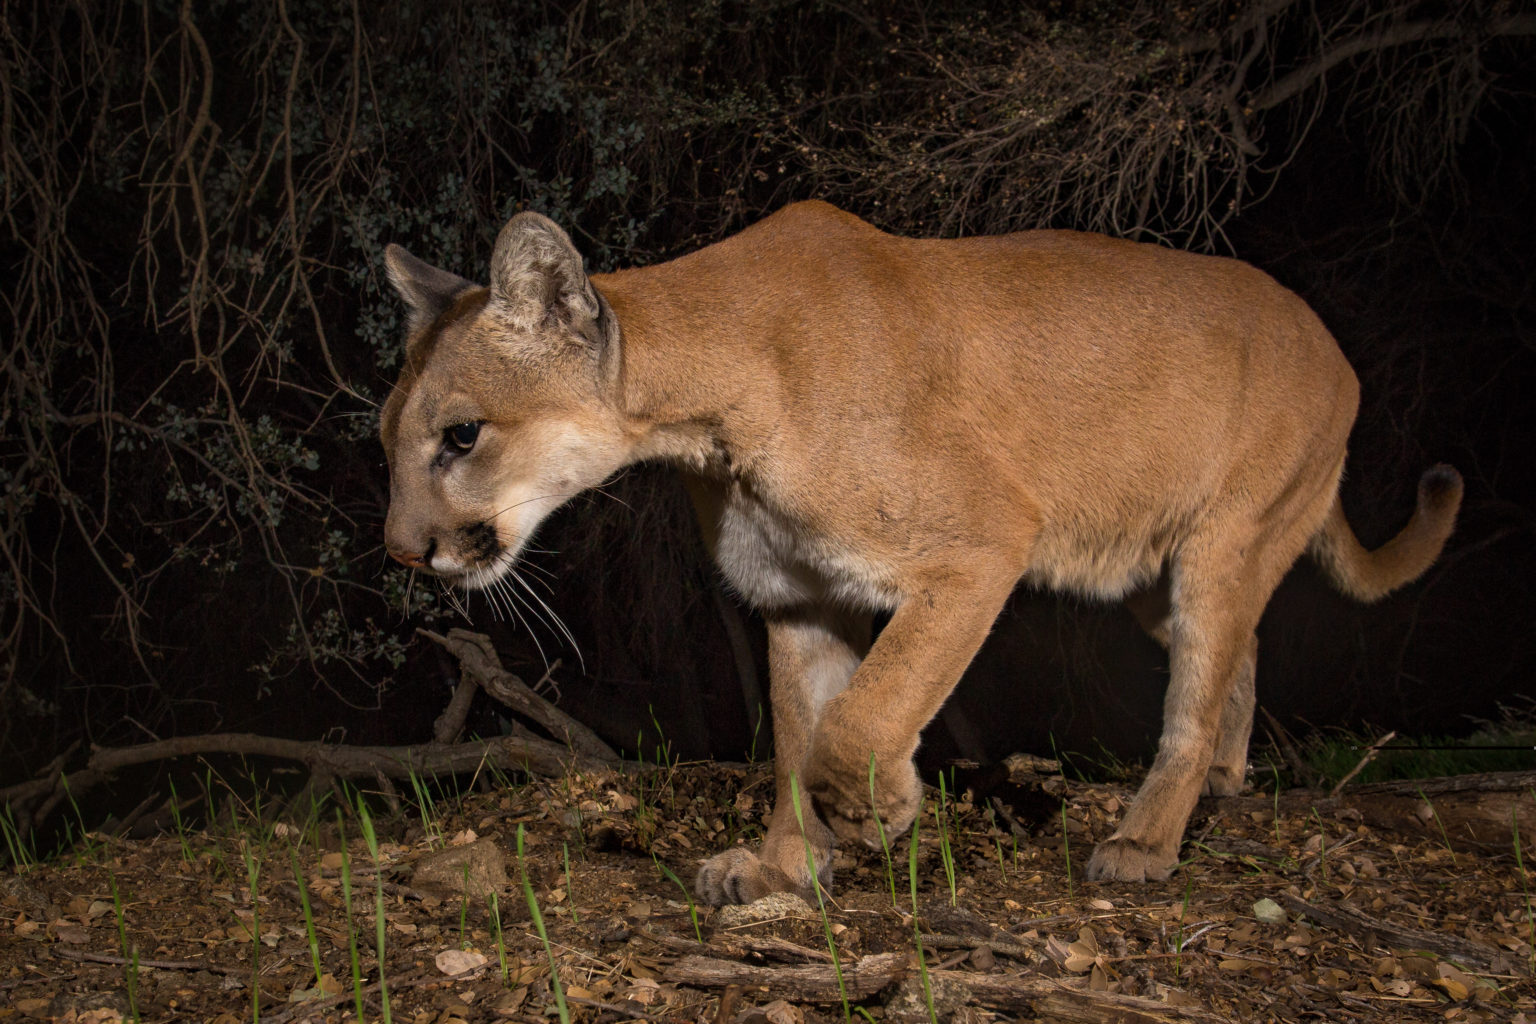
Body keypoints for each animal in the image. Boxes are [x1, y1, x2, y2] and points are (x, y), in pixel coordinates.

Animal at [377, 199, 1456, 902]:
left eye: (461, 435)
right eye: (387, 436)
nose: (402, 555)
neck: (705, 405)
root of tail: (1331, 344)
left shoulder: (979, 546)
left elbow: (861, 717)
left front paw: (880, 811)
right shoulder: (799, 595)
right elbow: (797, 734)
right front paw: (783, 867)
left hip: (1223, 540)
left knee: (1197, 685)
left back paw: (1147, 837)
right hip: (1149, 568)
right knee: (1238, 650)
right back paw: (1222, 783)